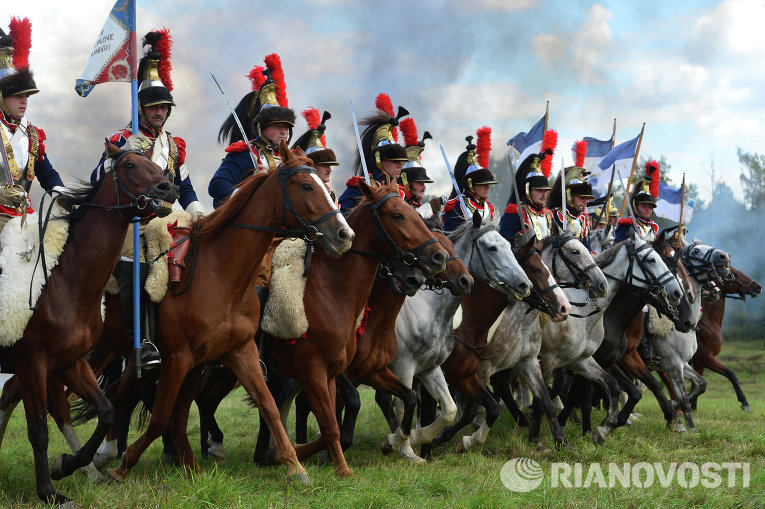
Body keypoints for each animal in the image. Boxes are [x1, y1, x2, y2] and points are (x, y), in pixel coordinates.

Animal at [0, 142, 178, 504]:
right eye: (128, 165)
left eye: (158, 167)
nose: (168, 188)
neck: (66, 280)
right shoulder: (32, 363)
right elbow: (38, 429)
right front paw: (49, 492)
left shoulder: (69, 362)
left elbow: (106, 410)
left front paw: (67, 465)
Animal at [688, 264, 760, 410]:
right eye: (734, 274)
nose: (757, 286)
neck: (706, 323)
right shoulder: (706, 358)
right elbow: (731, 374)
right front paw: (744, 402)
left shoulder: (699, 364)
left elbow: (696, 387)